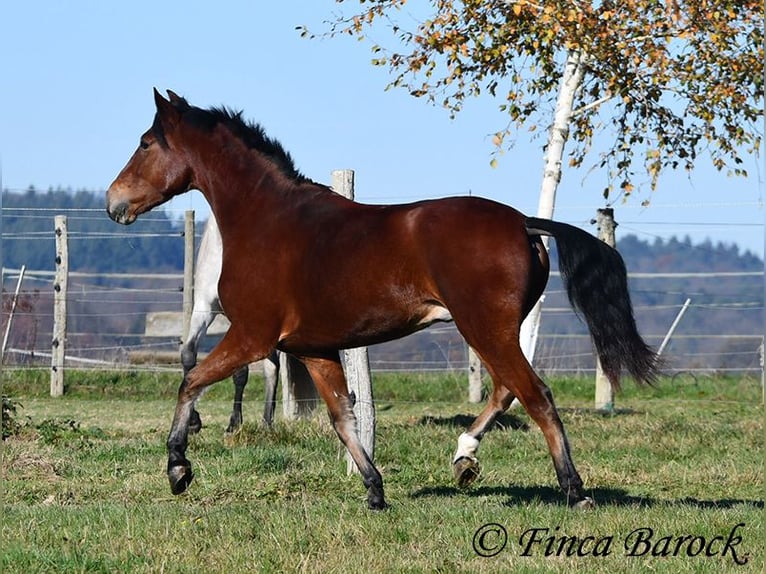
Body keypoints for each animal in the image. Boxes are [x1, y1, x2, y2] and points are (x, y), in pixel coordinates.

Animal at [106, 91, 660, 512]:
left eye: (146, 143)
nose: (114, 203)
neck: (268, 220)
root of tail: (524, 222)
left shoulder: (252, 336)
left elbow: (190, 380)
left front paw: (178, 468)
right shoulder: (313, 349)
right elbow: (343, 418)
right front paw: (375, 491)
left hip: (484, 328)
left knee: (535, 395)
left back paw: (574, 490)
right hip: (495, 330)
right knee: (507, 391)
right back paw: (464, 458)